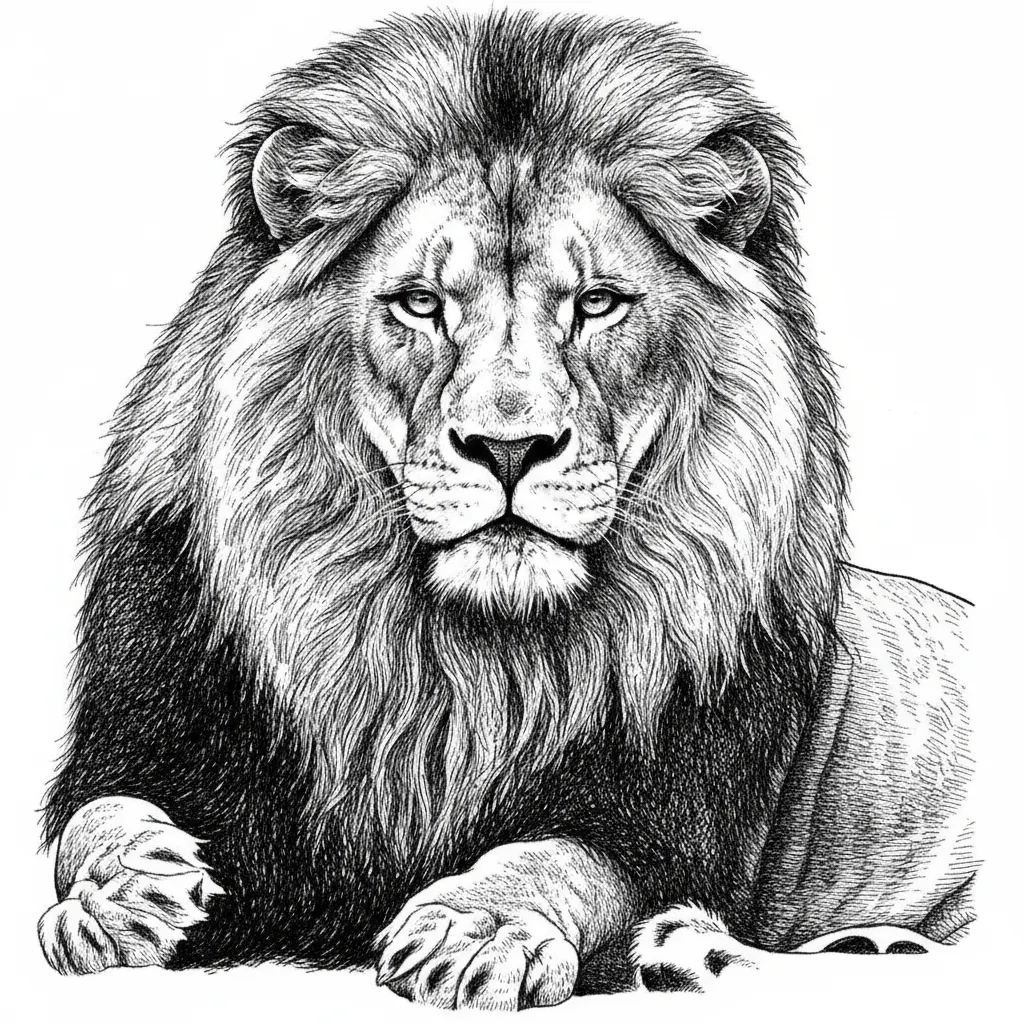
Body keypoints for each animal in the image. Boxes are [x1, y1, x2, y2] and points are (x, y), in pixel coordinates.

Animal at [37, 10, 975, 1008]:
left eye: (598, 303)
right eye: (419, 304)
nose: (510, 447)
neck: (456, 667)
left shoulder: (663, 828)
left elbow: (554, 858)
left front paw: (472, 928)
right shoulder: (146, 730)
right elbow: (94, 815)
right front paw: (118, 892)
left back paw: (727, 952)